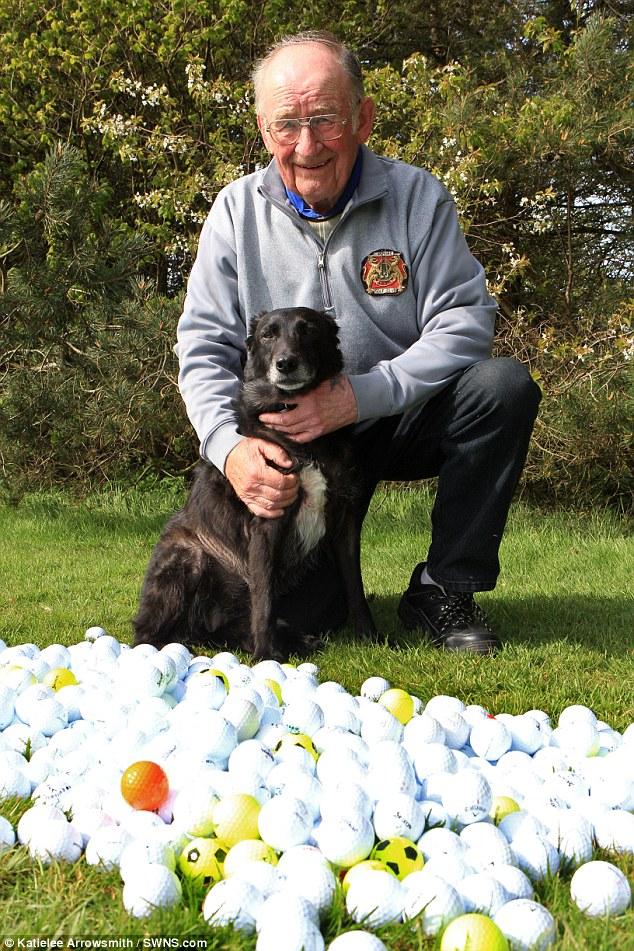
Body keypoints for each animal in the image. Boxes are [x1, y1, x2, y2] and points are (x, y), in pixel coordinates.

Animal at [133, 307, 377, 661]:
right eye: (268, 334)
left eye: (308, 330)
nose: (286, 364)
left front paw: (370, 636)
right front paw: (265, 657)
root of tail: (203, 628)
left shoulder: (345, 522)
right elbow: (264, 601)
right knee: (145, 633)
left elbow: (355, 586)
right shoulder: (266, 523)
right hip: (187, 557)